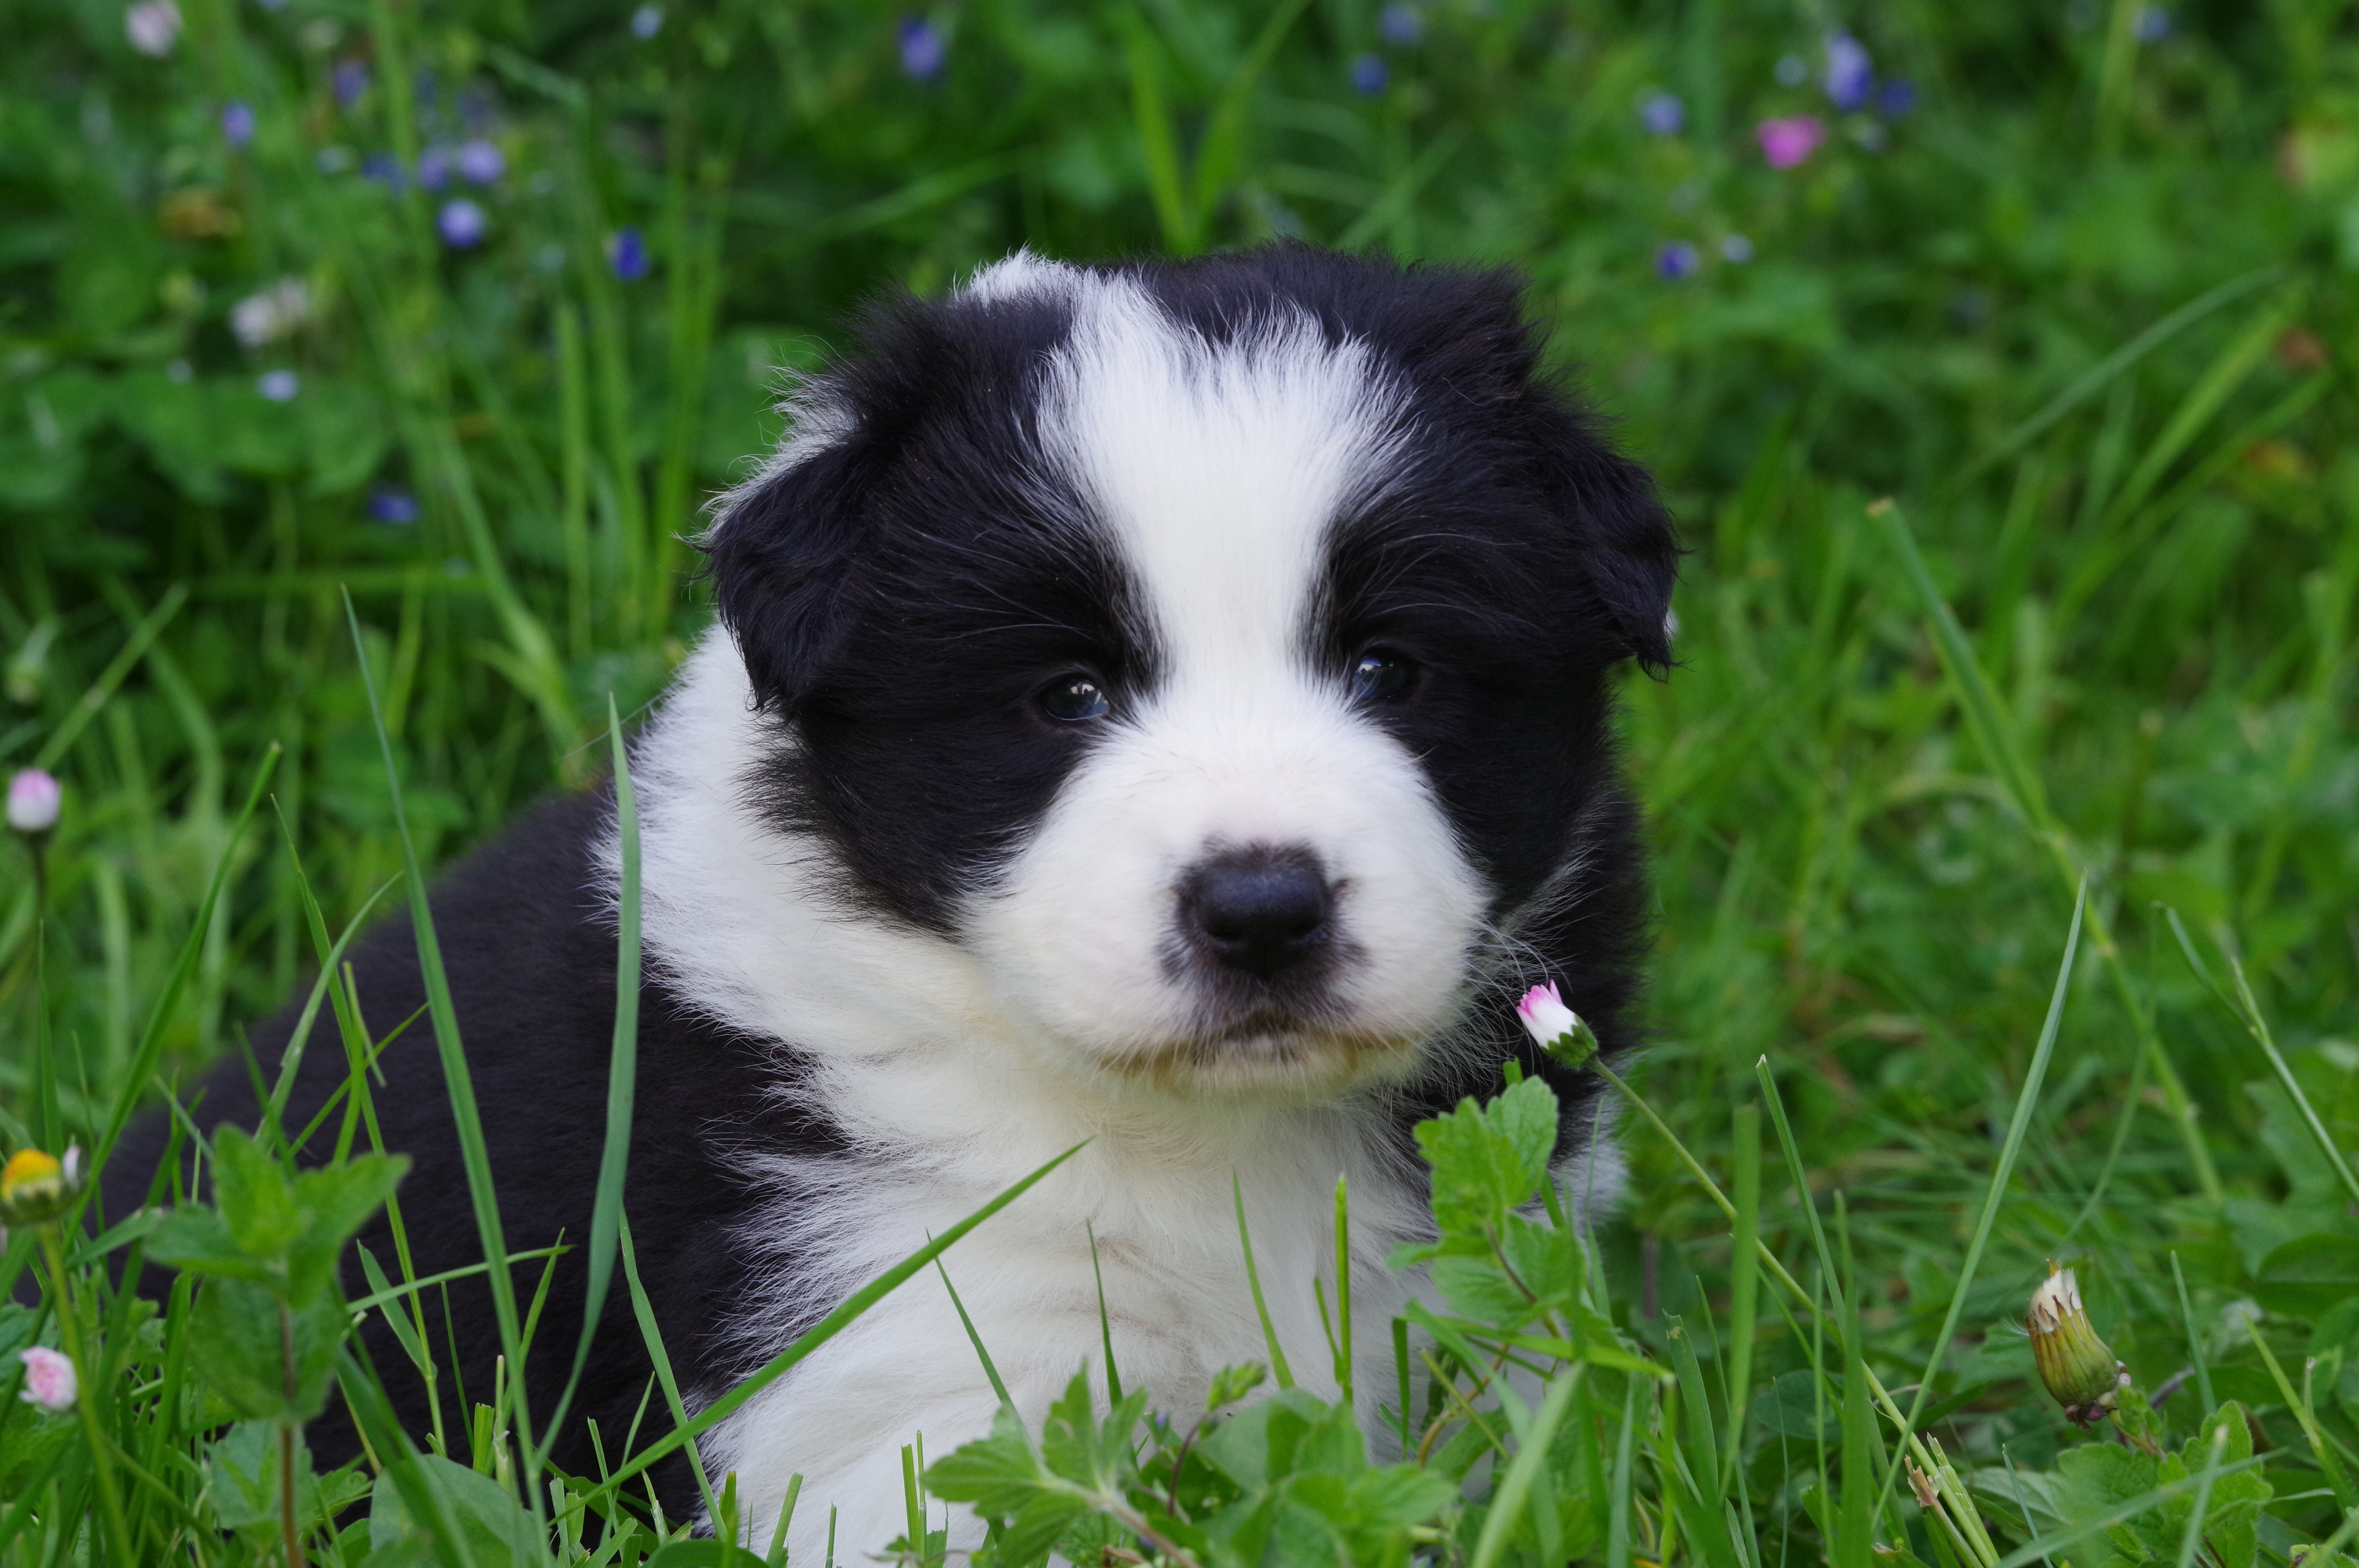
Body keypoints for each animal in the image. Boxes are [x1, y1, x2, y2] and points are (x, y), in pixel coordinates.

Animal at [111, 238, 1670, 1546]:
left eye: (1388, 668)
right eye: (1065, 692)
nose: (1261, 909)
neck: (1192, 1131)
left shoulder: (1479, 1304)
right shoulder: (901, 1345)